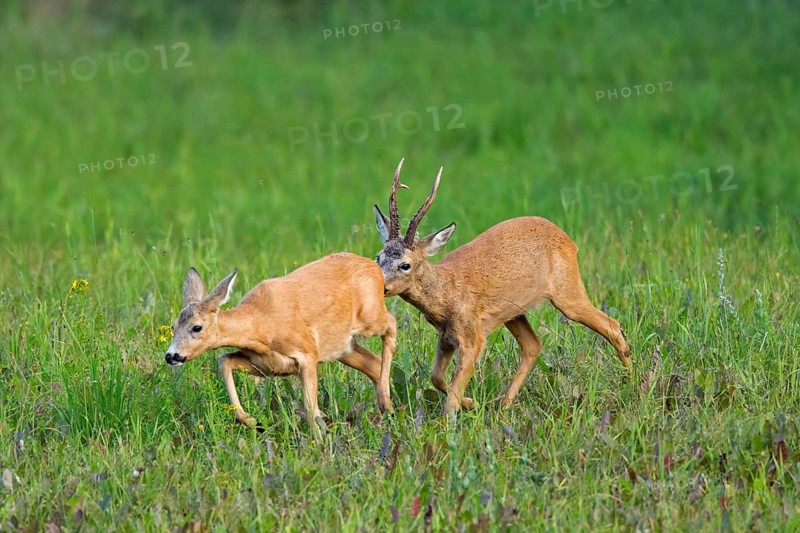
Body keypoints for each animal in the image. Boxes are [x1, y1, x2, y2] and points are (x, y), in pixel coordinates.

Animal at [164, 253, 397, 434]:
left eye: (196, 327)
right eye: (173, 326)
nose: (171, 356)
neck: (262, 325)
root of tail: (374, 267)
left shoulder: (307, 353)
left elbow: (310, 408)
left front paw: (320, 445)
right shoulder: (265, 364)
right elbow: (224, 360)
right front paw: (252, 421)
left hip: (370, 317)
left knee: (392, 323)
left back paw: (386, 402)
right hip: (344, 347)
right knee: (373, 363)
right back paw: (387, 410)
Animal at [373, 159, 632, 415]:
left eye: (405, 265)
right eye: (378, 257)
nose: (380, 287)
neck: (446, 294)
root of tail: (568, 240)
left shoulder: (473, 336)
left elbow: (452, 395)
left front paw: (452, 420)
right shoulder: (446, 335)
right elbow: (437, 378)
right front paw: (472, 403)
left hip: (567, 291)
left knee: (611, 325)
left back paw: (630, 380)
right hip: (513, 312)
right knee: (533, 345)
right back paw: (504, 405)